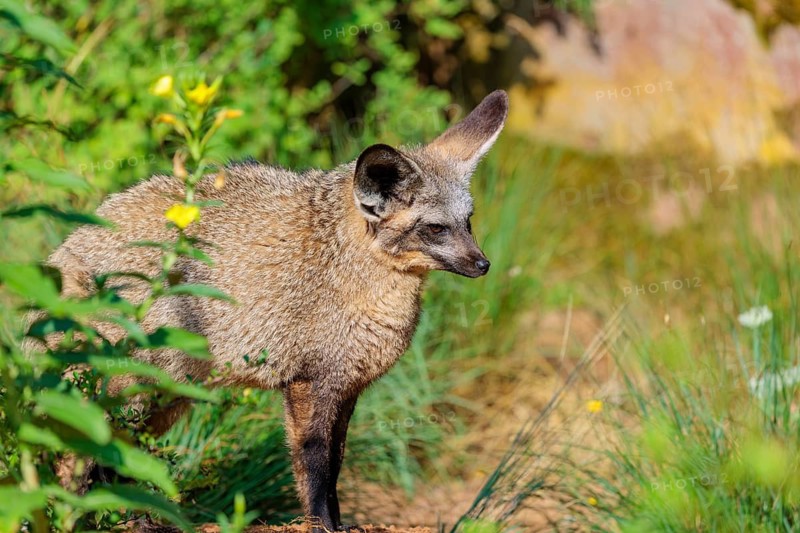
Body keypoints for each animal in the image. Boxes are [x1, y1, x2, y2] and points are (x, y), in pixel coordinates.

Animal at [44, 89, 508, 531]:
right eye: (436, 229)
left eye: (468, 222)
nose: (484, 264)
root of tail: (65, 250)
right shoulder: (309, 384)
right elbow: (315, 467)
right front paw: (320, 525)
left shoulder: (346, 389)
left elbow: (336, 466)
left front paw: (338, 523)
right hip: (137, 393)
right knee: (82, 460)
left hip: (167, 400)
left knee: (114, 462)